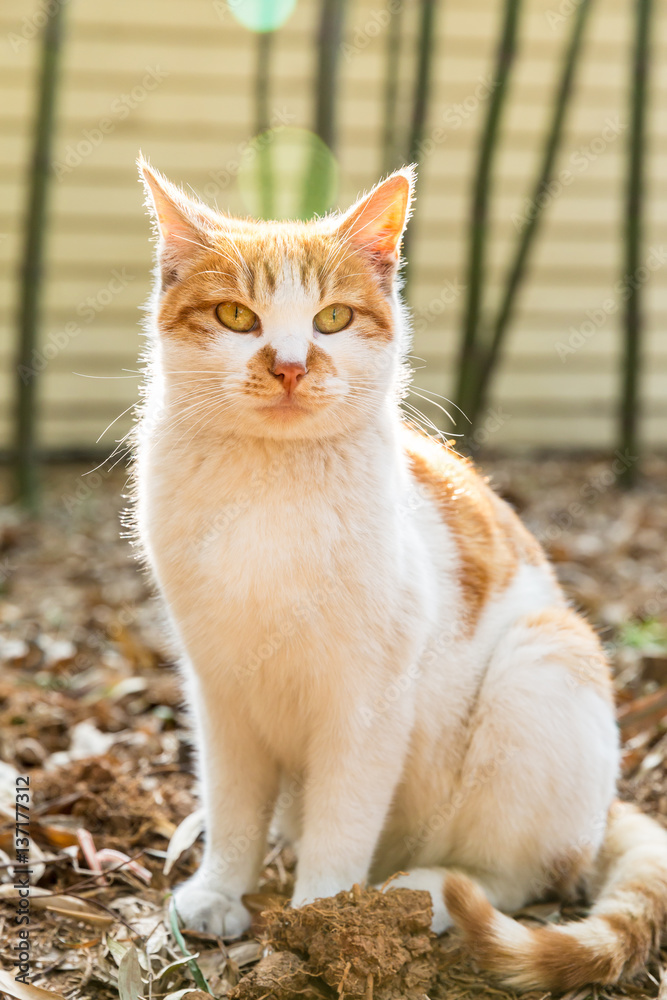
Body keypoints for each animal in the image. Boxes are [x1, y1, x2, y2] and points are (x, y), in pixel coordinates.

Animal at [136, 158, 667, 992]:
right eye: (234, 317)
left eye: (331, 320)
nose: (289, 366)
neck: (268, 492)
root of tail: (608, 803)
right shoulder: (219, 687)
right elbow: (231, 805)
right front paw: (222, 891)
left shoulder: (367, 701)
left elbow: (342, 821)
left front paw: (324, 921)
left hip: (542, 659)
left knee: (512, 880)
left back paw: (416, 894)